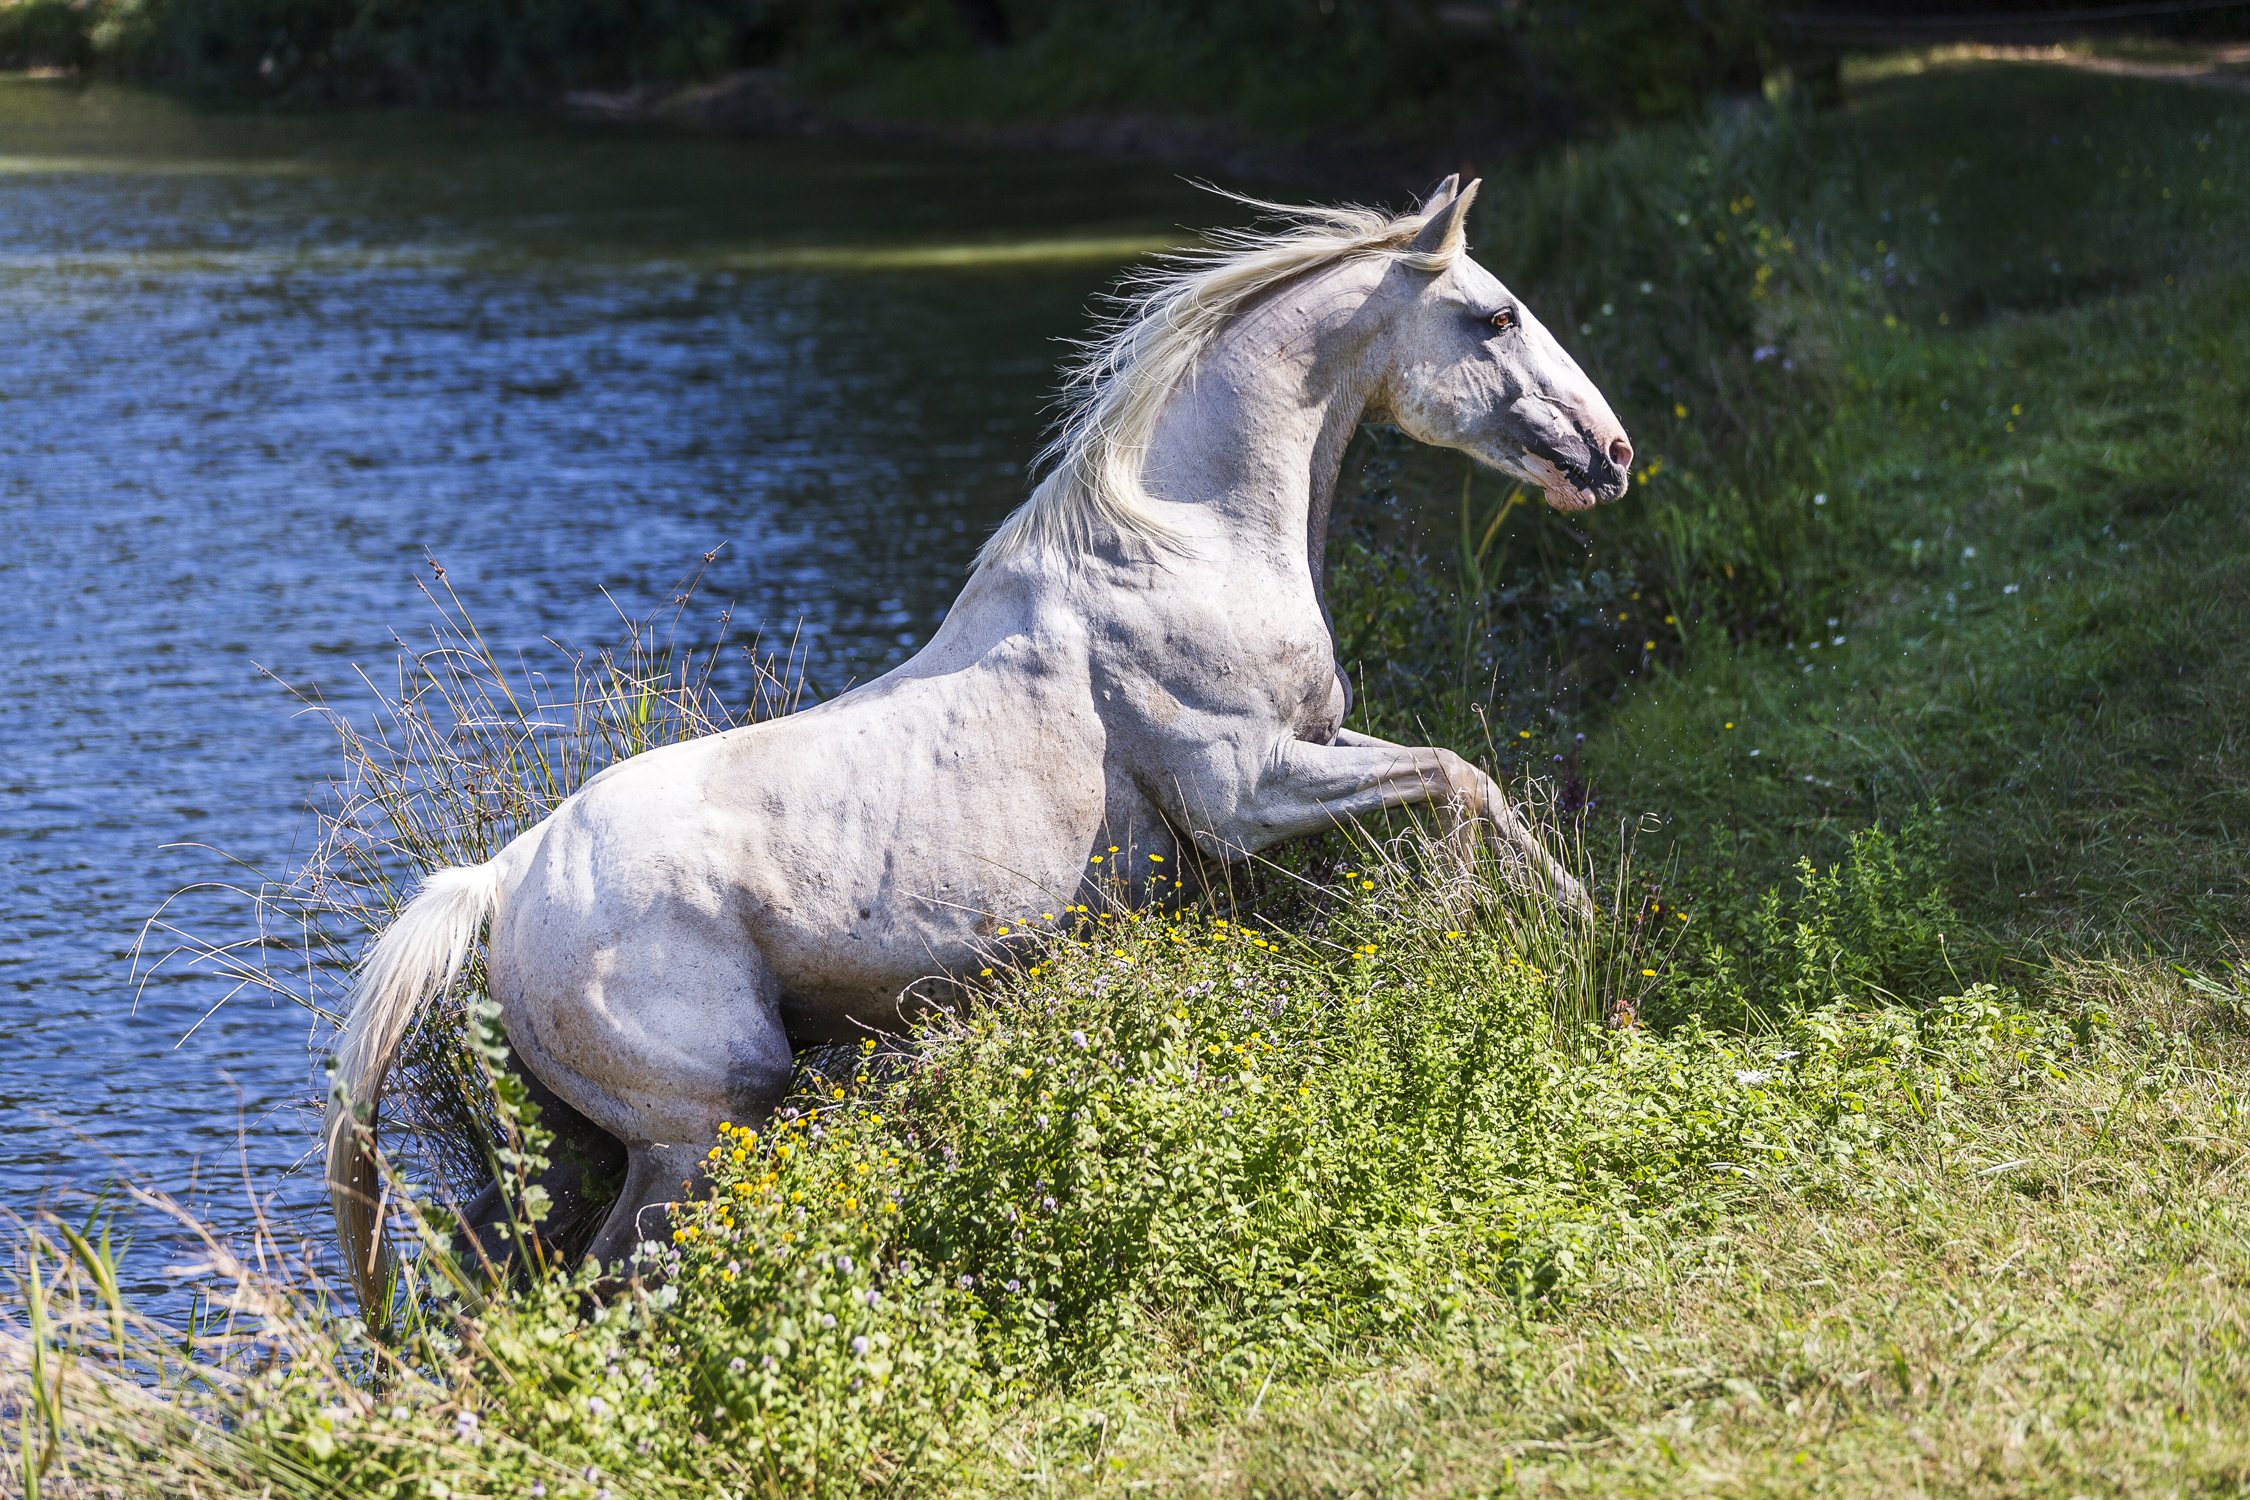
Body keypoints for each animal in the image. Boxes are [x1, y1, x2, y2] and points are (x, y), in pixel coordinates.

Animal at [326, 173, 1629, 1304]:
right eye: (1495, 315)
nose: (1609, 456)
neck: (1185, 545)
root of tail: (507, 873)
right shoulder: (1246, 794)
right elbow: (1452, 777)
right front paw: (1482, 921)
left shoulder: (1316, 749)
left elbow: (1473, 780)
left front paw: (1570, 930)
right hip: (702, 1132)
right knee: (611, 1286)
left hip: (571, 1145)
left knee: (505, 1270)